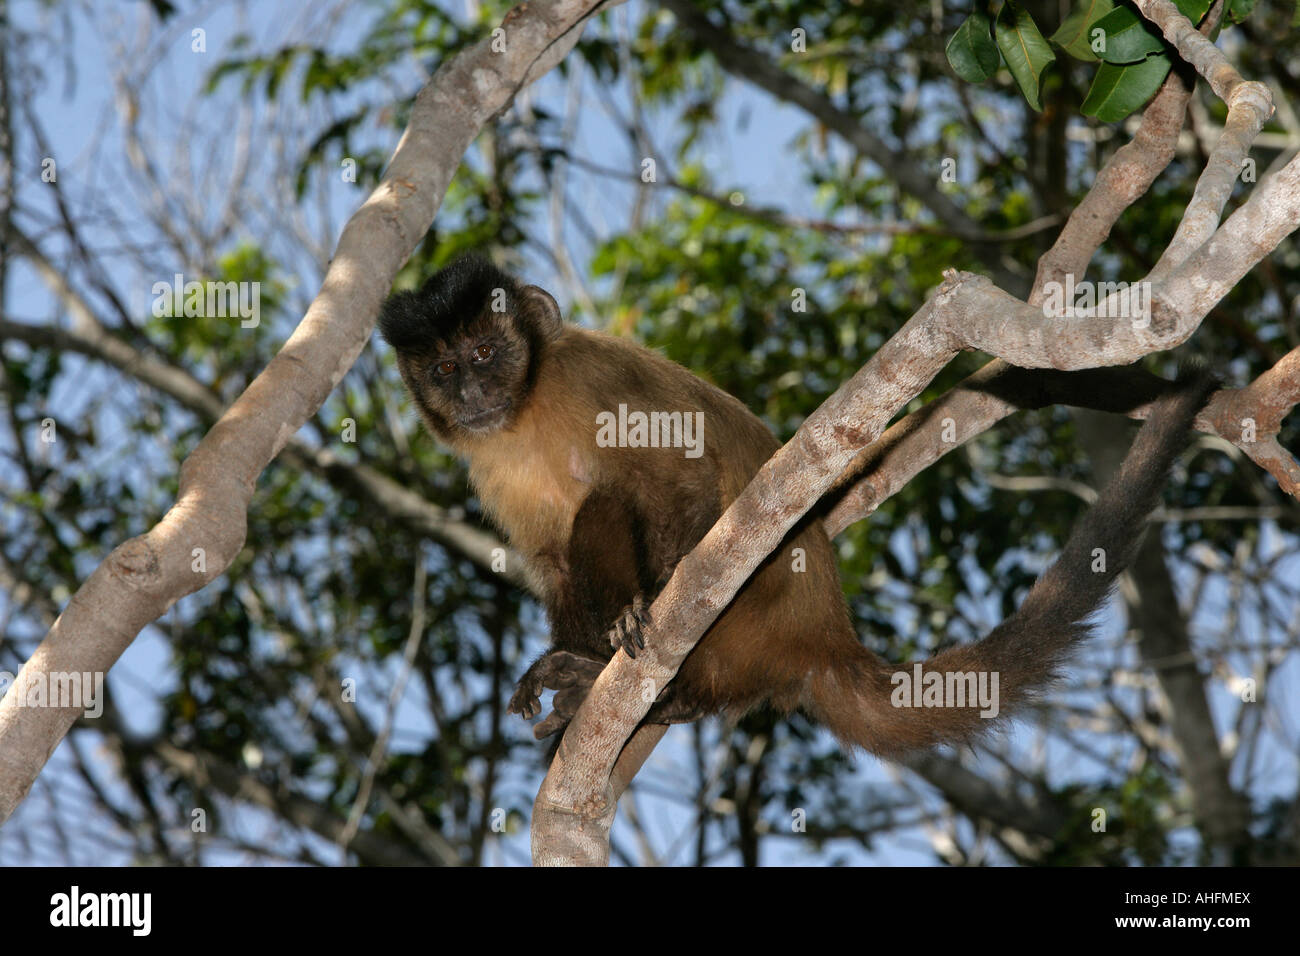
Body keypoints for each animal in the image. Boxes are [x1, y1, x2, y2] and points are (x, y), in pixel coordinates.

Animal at [379, 256, 1216, 754]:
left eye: (486, 353)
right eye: (444, 369)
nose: (472, 392)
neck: (526, 411)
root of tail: (823, 638)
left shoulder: (591, 376)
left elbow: (679, 480)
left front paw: (639, 611)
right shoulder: (489, 466)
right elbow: (553, 562)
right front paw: (561, 663)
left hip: (747, 621)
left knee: (614, 509)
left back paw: (631, 674)